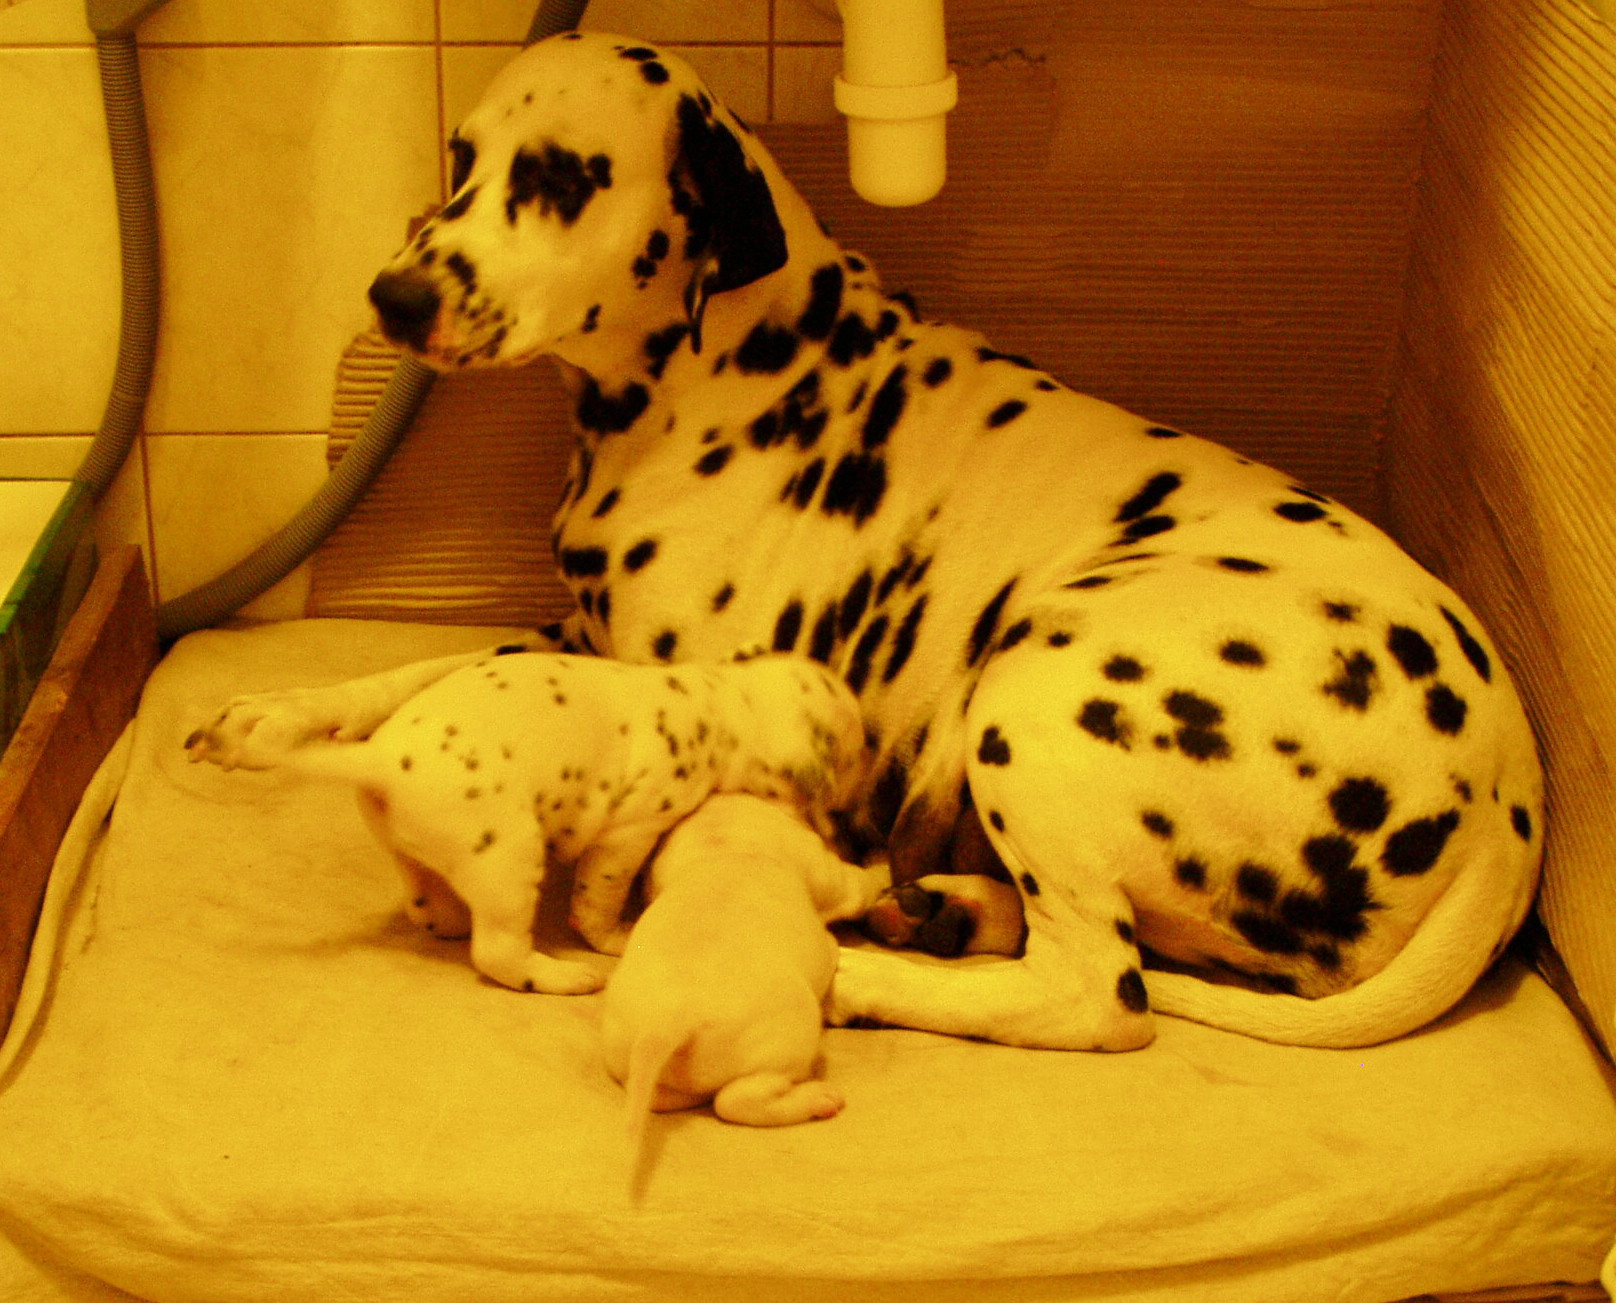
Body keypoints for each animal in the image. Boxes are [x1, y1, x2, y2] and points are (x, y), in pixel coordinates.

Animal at [187, 650, 866, 991]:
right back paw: (565, 975)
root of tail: (380, 761)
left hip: (416, 851)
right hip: (511, 862)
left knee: (423, 896)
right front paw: (614, 936)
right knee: (499, 957)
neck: (727, 704)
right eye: (854, 752)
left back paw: (443, 917)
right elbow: (599, 898)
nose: (857, 815)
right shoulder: (629, 832)